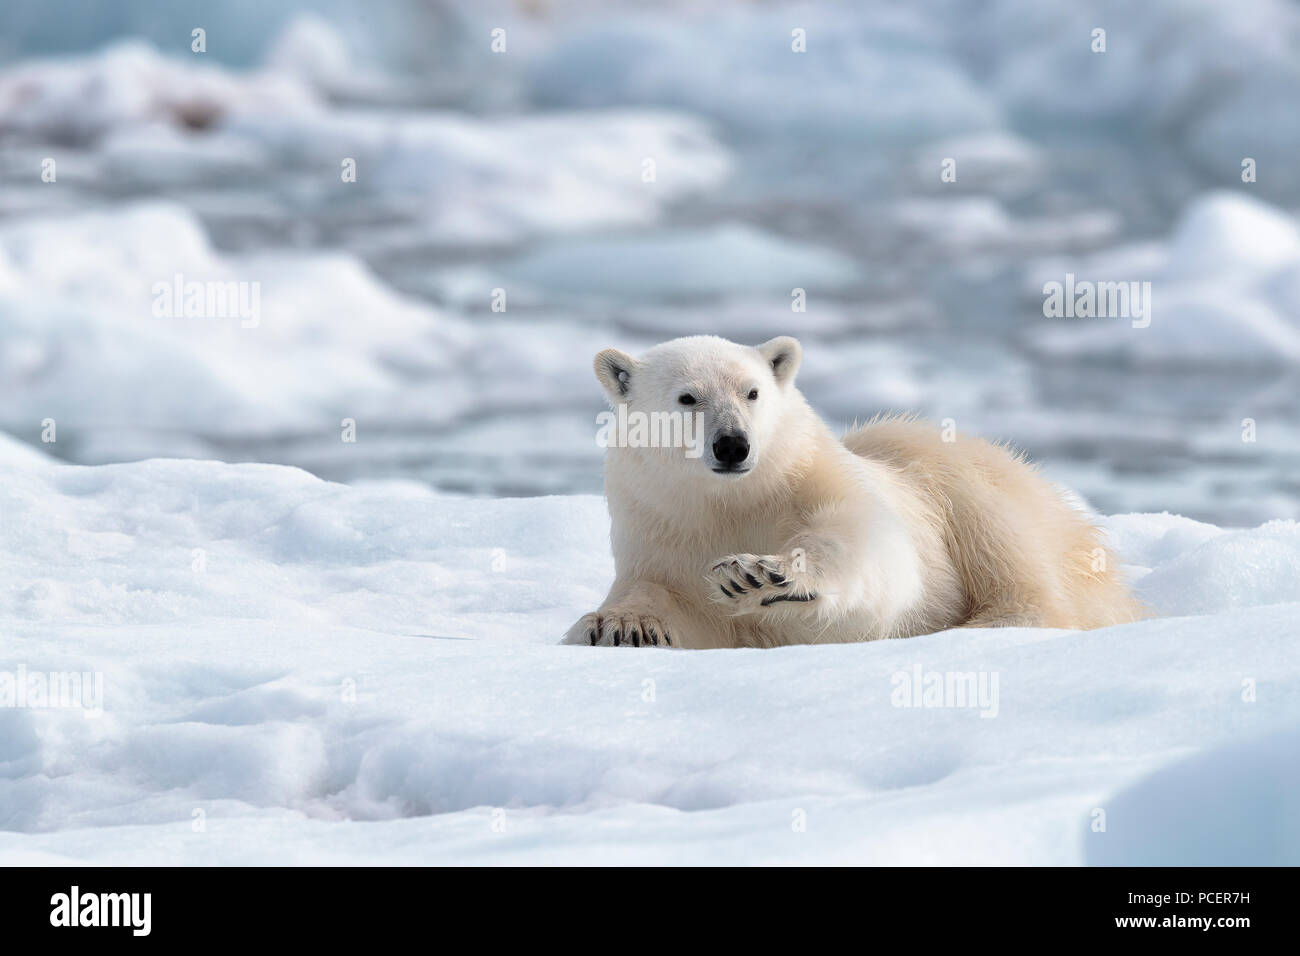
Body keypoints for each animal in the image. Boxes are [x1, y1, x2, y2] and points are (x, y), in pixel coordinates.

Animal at [564, 335, 1144, 650]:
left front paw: (759, 574)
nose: (733, 445)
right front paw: (619, 625)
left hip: (957, 477)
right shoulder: (659, 524)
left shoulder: (813, 480)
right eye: (688, 398)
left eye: (752, 392)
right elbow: (670, 601)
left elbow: (867, 543)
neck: (731, 501)